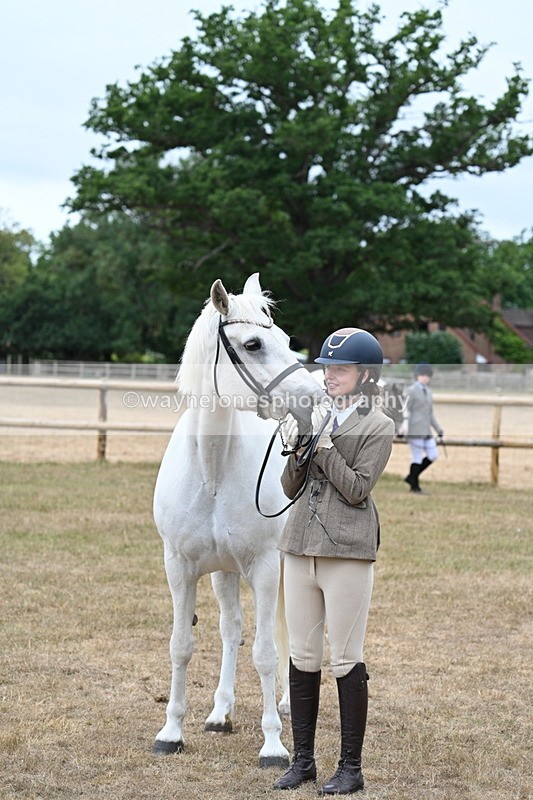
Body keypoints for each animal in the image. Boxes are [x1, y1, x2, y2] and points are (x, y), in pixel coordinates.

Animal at [152, 273, 324, 767]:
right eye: (252, 344)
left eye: (285, 338)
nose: (315, 400)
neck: (212, 470)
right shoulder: (180, 568)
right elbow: (182, 646)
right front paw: (172, 732)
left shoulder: (265, 567)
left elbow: (266, 653)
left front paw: (274, 745)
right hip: (223, 573)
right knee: (232, 630)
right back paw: (220, 711)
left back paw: (283, 705)